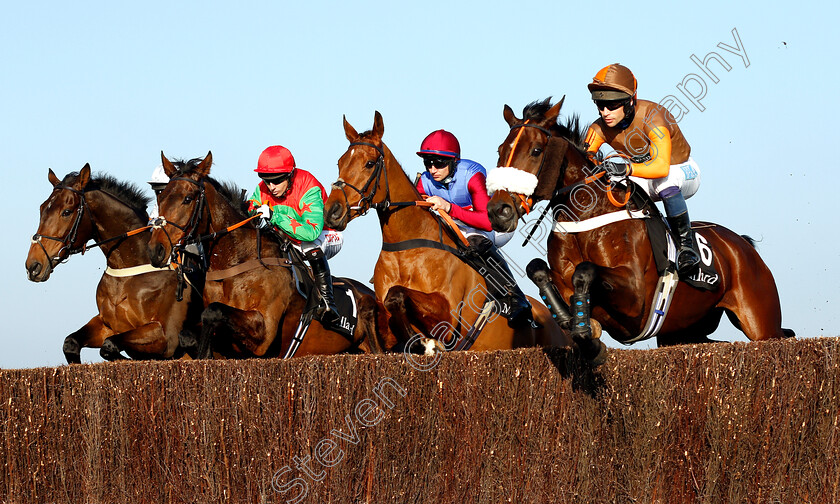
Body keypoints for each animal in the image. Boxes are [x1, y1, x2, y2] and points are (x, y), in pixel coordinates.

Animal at [26, 163, 200, 360]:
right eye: (42, 209)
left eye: (66, 212)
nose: (33, 266)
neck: (128, 267)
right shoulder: (106, 324)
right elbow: (71, 343)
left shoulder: (166, 337)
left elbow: (109, 345)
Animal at [148, 151, 388, 358]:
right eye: (160, 198)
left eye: (188, 198)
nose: (155, 249)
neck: (235, 263)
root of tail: (369, 292)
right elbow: (187, 333)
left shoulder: (263, 333)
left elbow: (213, 311)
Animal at [324, 111, 572, 352]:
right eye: (340, 162)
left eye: (369, 163)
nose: (332, 211)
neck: (405, 250)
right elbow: (368, 305)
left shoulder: (448, 319)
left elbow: (397, 295)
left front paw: (421, 342)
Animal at [486, 96, 796, 360]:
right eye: (500, 150)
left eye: (536, 151)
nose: (498, 210)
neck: (586, 219)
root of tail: (742, 245)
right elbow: (538, 269)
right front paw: (574, 323)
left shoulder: (635, 296)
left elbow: (585, 271)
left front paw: (586, 332)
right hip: (684, 329)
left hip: (760, 320)